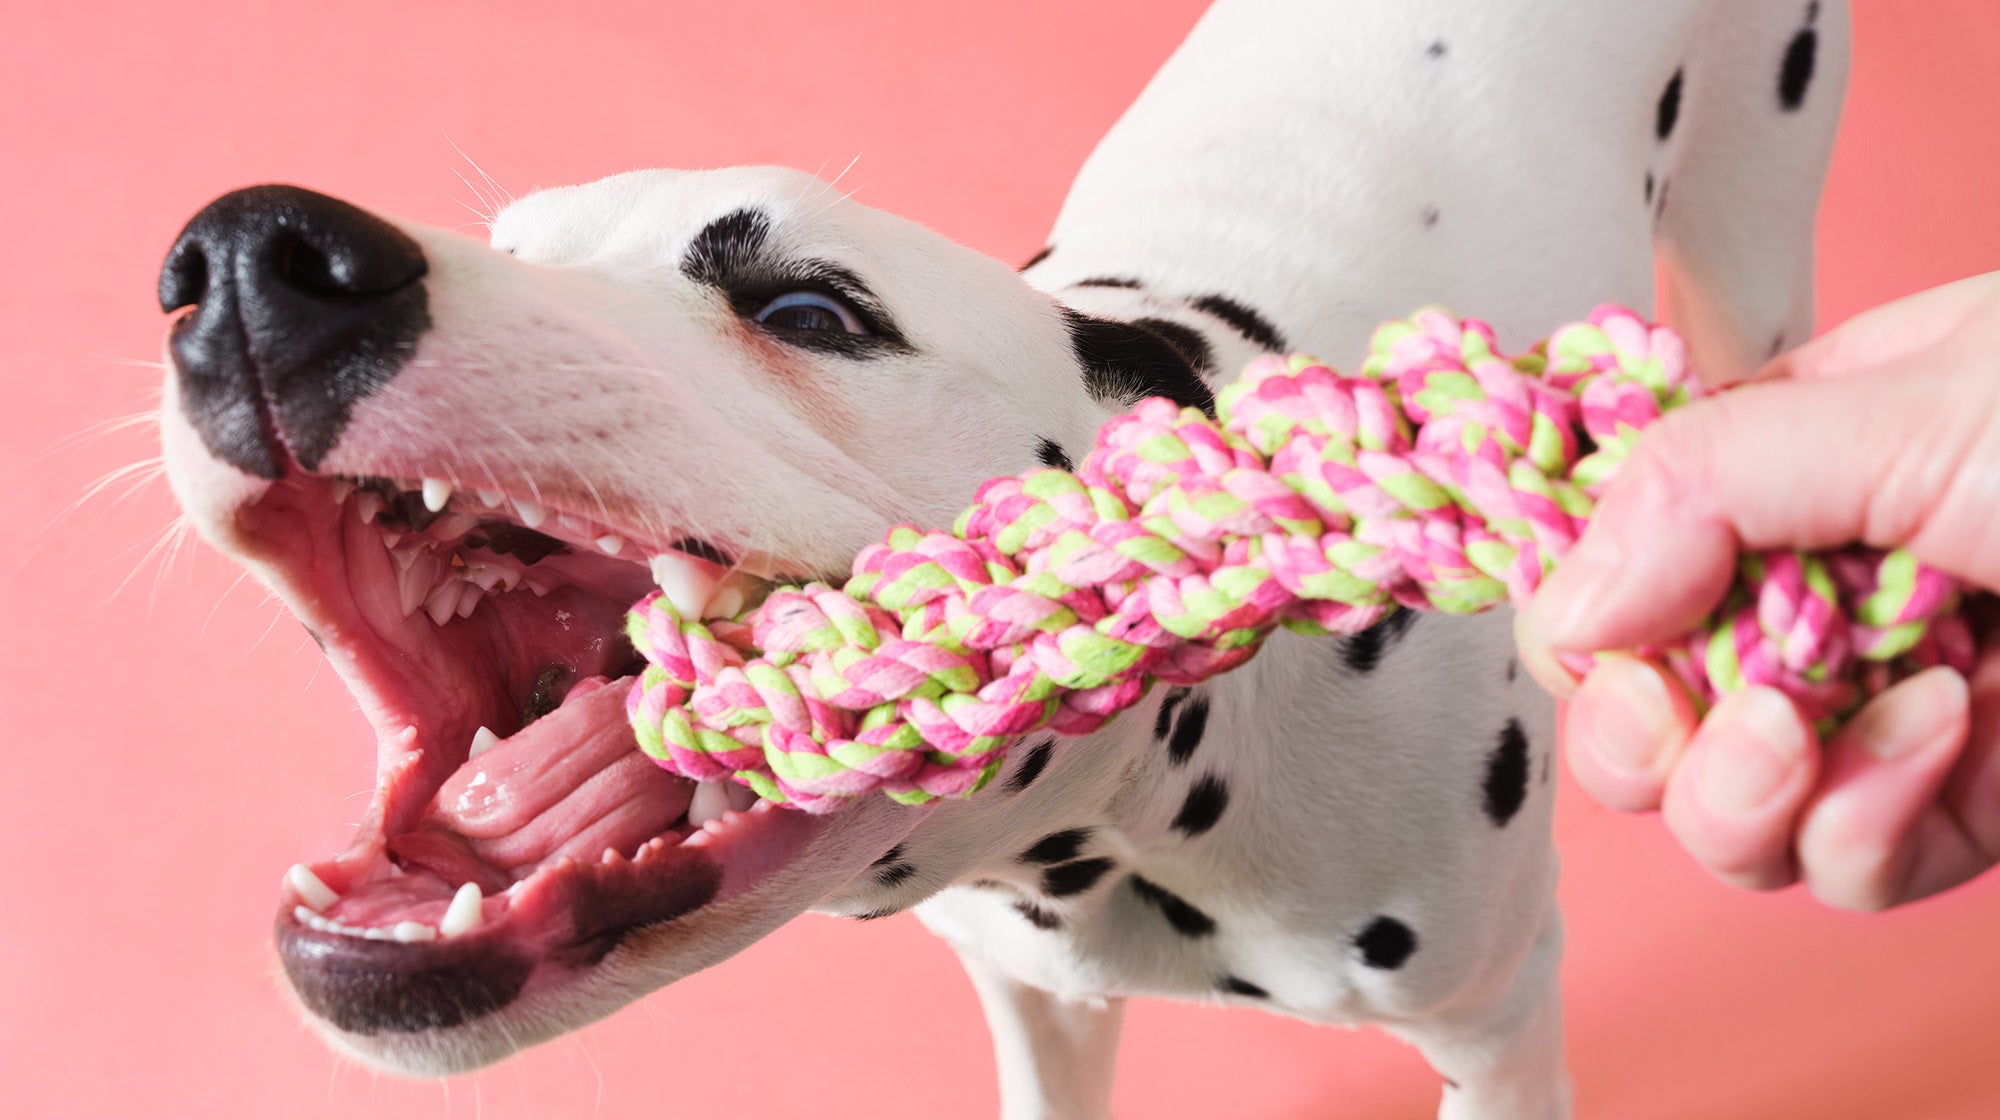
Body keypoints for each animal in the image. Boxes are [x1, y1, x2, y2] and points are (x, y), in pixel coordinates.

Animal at [152, 2, 1840, 1112]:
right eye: (521, 241)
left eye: (812, 310)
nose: (248, 262)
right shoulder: (1029, 994)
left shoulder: (1501, 1024)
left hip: (1755, 259)